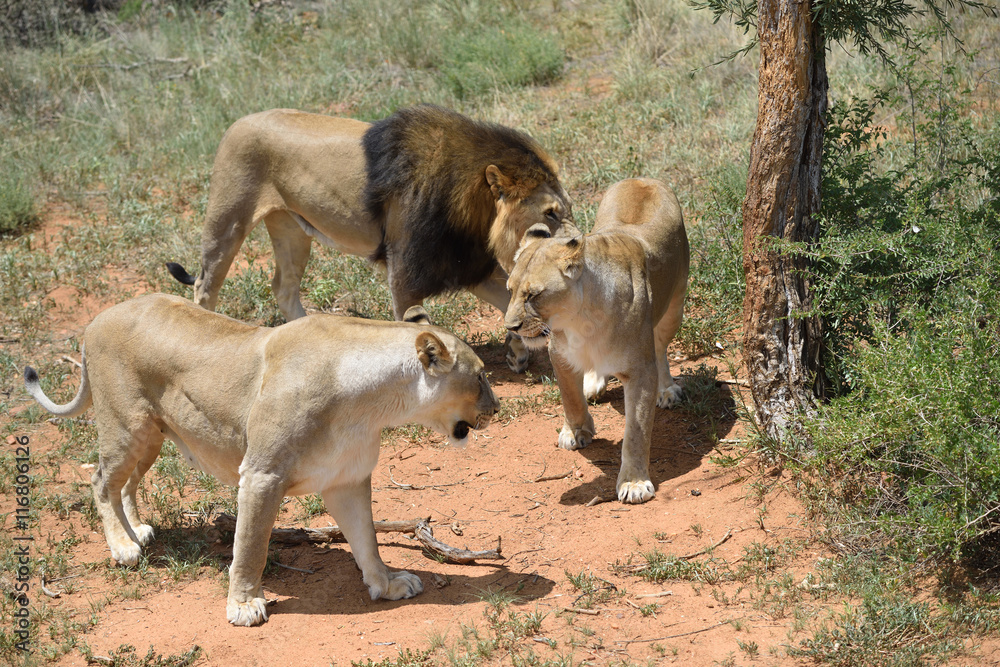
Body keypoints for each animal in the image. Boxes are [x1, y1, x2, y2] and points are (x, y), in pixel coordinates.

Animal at [25, 294, 500, 624]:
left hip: (153, 437)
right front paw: (244, 604)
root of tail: (98, 318)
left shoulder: (346, 479)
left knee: (126, 482)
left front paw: (386, 584)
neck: (375, 403)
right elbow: (250, 545)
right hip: (127, 426)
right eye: (480, 376)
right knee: (101, 480)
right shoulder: (261, 474)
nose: (497, 408)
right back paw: (123, 546)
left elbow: (367, 538)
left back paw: (137, 531)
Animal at [163, 107, 572, 374]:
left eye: (565, 208)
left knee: (283, 286)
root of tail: (237, 121)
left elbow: (509, 302)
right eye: (551, 213)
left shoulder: (467, 266)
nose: (574, 244)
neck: (474, 212)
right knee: (205, 286)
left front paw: (518, 352)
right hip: (227, 219)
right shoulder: (406, 274)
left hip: (291, 229)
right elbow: (414, 325)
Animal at [508, 180, 688, 504]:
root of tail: (642, 179)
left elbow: (636, 431)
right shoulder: (559, 354)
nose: (510, 326)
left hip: (674, 307)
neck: (581, 321)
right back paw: (592, 383)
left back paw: (666, 389)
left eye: (534, 295)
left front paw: (634, 483)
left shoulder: (640, 370)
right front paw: (576, 432)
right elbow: (569, 397)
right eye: (510, 290)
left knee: (660, 346)